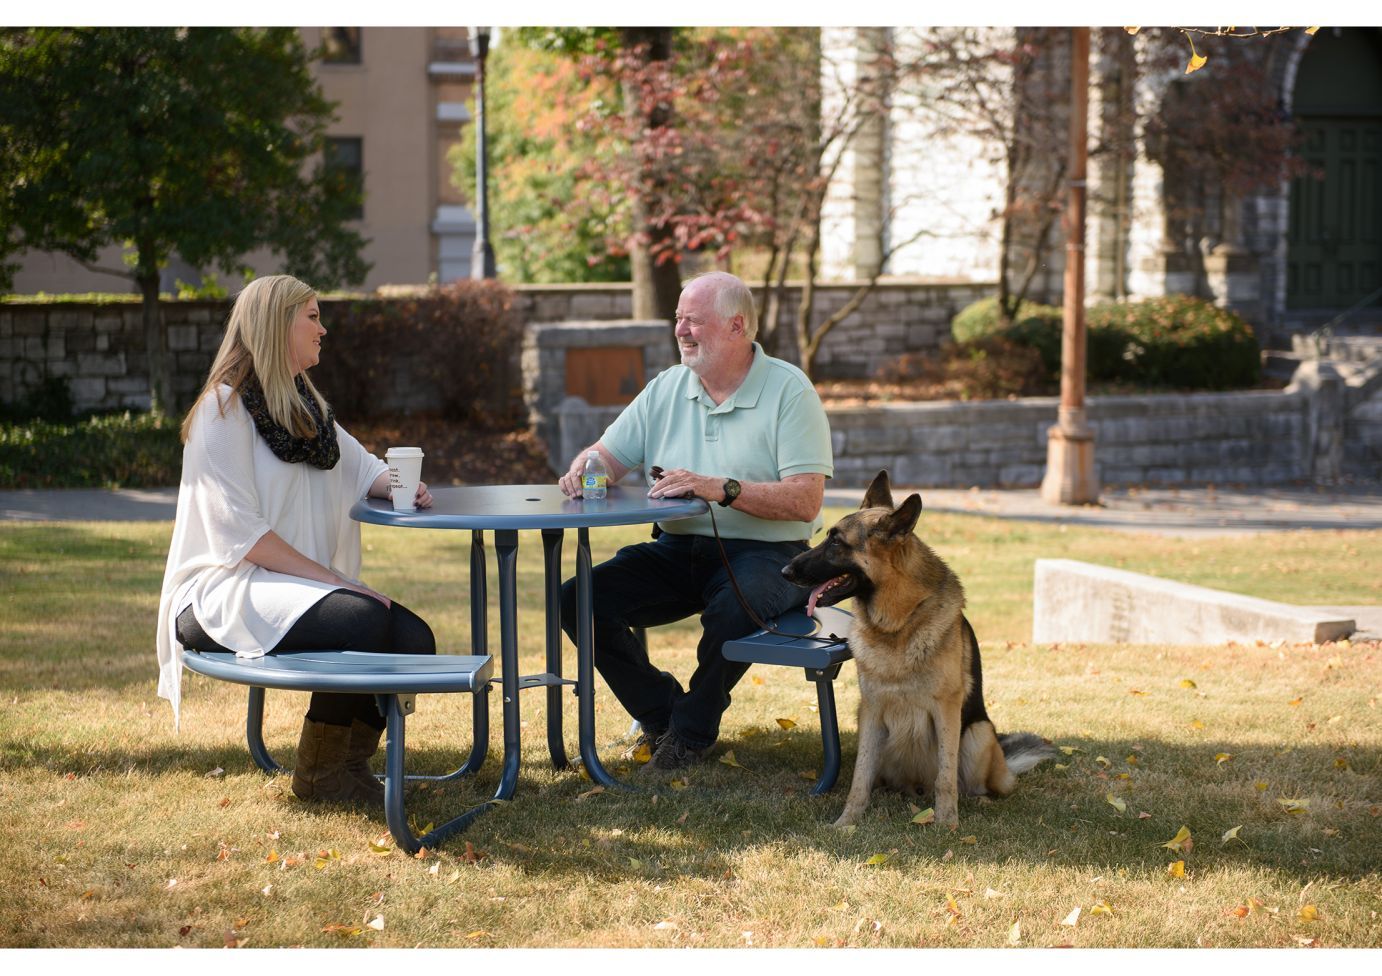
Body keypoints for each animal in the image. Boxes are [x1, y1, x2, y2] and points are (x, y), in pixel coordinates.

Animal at [784, 467, 1050, 823]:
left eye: (836, 542)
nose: (785, 571)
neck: (896, 623)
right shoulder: (871, 710)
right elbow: (859, 776)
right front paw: (847, 822)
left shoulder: (946, 710)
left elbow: (946, 778)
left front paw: (947, 824)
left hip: (978, 734)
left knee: (977, 785)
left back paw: (978, 800)